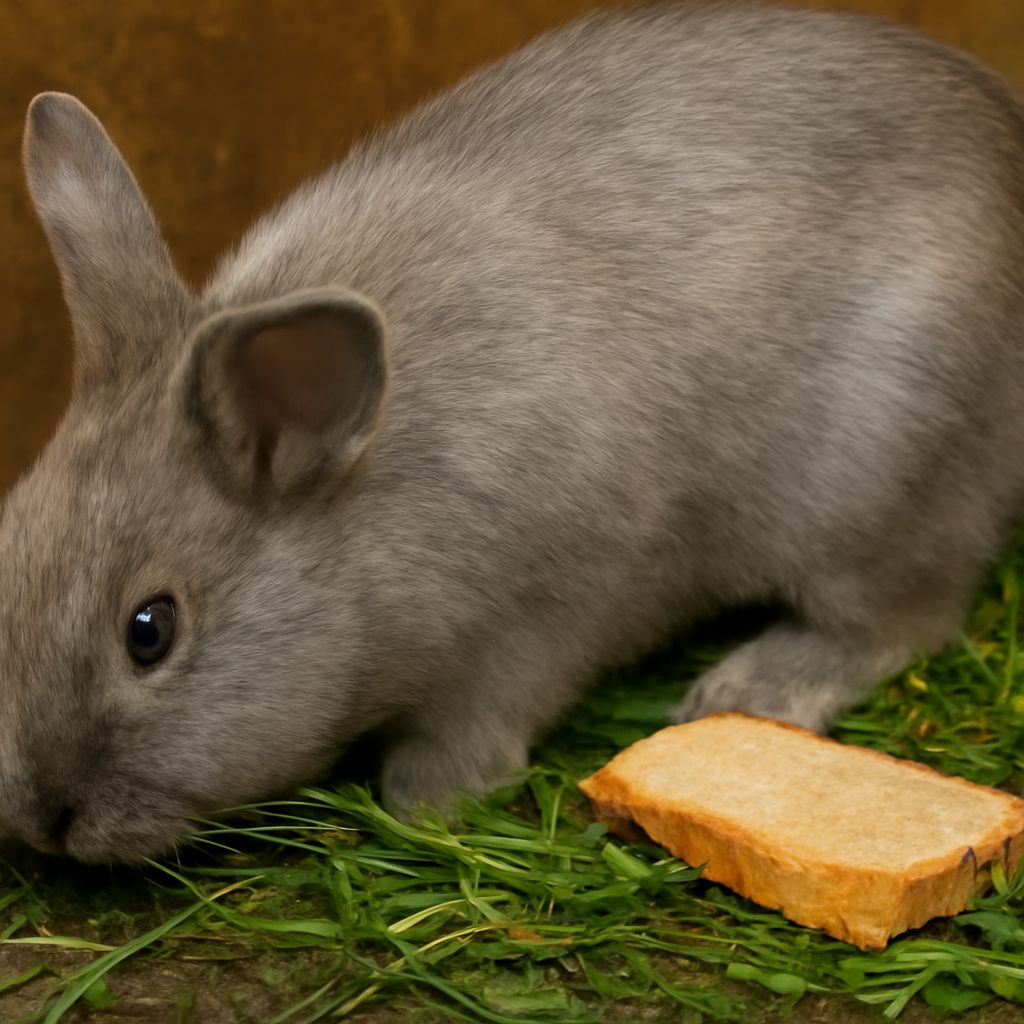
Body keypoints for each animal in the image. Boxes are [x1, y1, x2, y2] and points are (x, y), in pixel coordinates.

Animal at [4, 0, 1024, 864]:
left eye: (150, 631)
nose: (44, 820)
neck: (362, 518)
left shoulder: (530, 625)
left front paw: (427, 800)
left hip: (884, 465)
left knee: (901, 617)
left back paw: (750, 687)